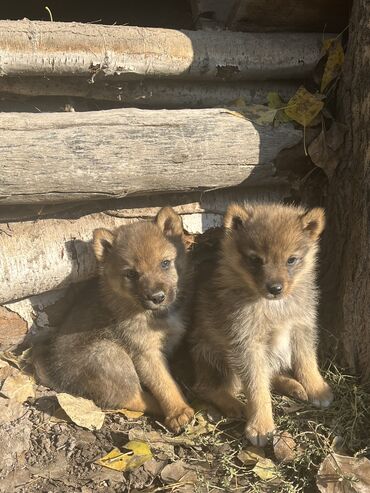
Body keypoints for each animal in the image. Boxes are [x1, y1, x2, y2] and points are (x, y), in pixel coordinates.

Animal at [32, 207, 194, 430]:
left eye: (165, 263)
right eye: (131, 274)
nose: (157, 297)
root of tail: (57, 375)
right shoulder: (145, 353)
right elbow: (164, 383)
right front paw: (178, 411)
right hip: (110, 354)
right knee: (129, 398)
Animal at [191, 202, 332, 444]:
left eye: (291, 260)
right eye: (256, 260)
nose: (275, 288)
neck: (273, 307)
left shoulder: (301, 327)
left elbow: (307, 362)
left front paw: (317, 388)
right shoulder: (247, 345)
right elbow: (257, 387)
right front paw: (261, 425)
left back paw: (293, 385)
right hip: (214, 356)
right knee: (206, 387)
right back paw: (235, 405)